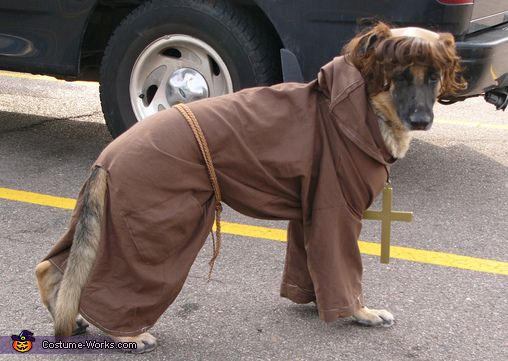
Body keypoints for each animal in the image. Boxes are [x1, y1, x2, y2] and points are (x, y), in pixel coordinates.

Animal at [33, 22, 466, 352]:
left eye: (432, 78)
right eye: (401, 77)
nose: (422, 119)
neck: (357, 105)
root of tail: (108, 155)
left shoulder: (309, 214)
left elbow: (312, 264)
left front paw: (315, 301)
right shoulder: (335, 213)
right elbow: (345, 271)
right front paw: (359, 312)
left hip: (106, 223)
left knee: (52, 267)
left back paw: (70, 317)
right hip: (157, 230)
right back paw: (126, 333)